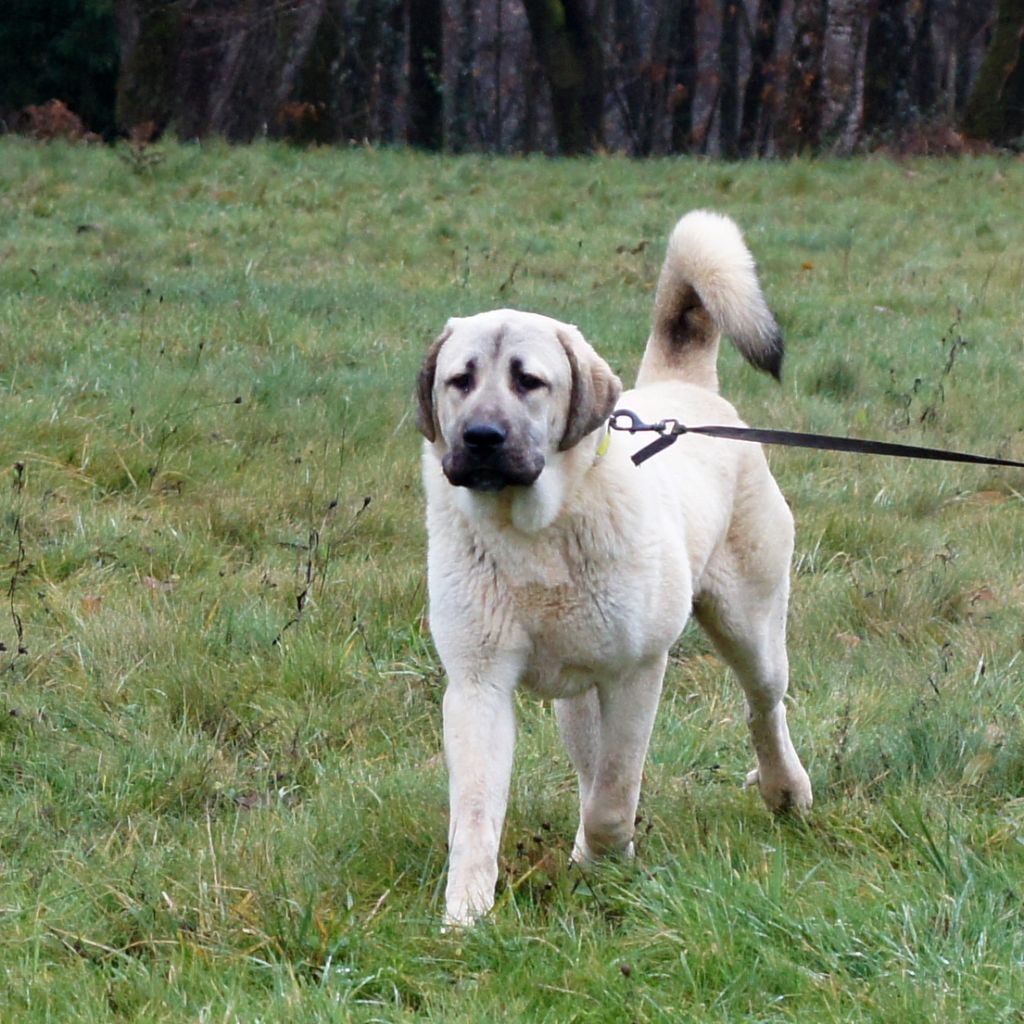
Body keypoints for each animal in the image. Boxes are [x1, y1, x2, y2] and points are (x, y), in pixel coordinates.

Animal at [416, 210, 813, 927]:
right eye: (460, 380)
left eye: (528, 381)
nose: (481, 438)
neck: (537, 531)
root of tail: (688, 389)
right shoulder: (478, 685)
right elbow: (479, 815)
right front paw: (465, 915)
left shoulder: (635, 673)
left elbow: (614, 792)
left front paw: (605, 860)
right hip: (575, 696)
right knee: (588, 761)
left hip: (751, 628)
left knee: (763, 708)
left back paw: (783, 791)